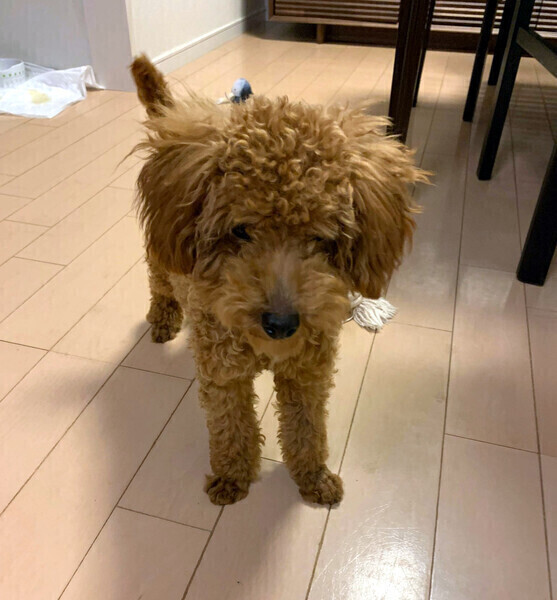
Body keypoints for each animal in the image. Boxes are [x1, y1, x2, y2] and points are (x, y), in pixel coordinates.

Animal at [130, 55, 427, 506]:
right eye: (240, 231)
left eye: (322, 238)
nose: (282, 324)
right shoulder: (224, 375)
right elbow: (231, 428)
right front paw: (231, 478)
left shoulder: (307, 373)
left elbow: (308, 429)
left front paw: (314, 478)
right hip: (161, 254)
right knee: (158, 279)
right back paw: (163, 319)